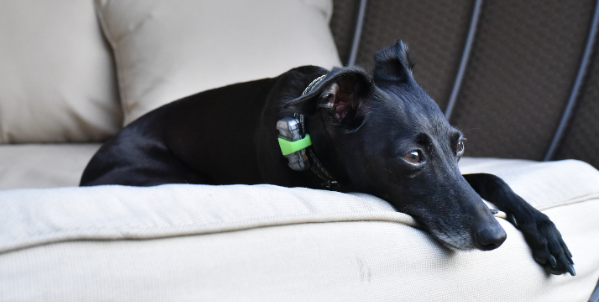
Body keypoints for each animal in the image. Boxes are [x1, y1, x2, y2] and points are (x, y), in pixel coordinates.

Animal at [82, 41, 576, 278]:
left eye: (459, 145)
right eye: (413, 156)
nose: (496, 237)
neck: (310, 127)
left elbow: (490, 177)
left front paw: (544, 231)